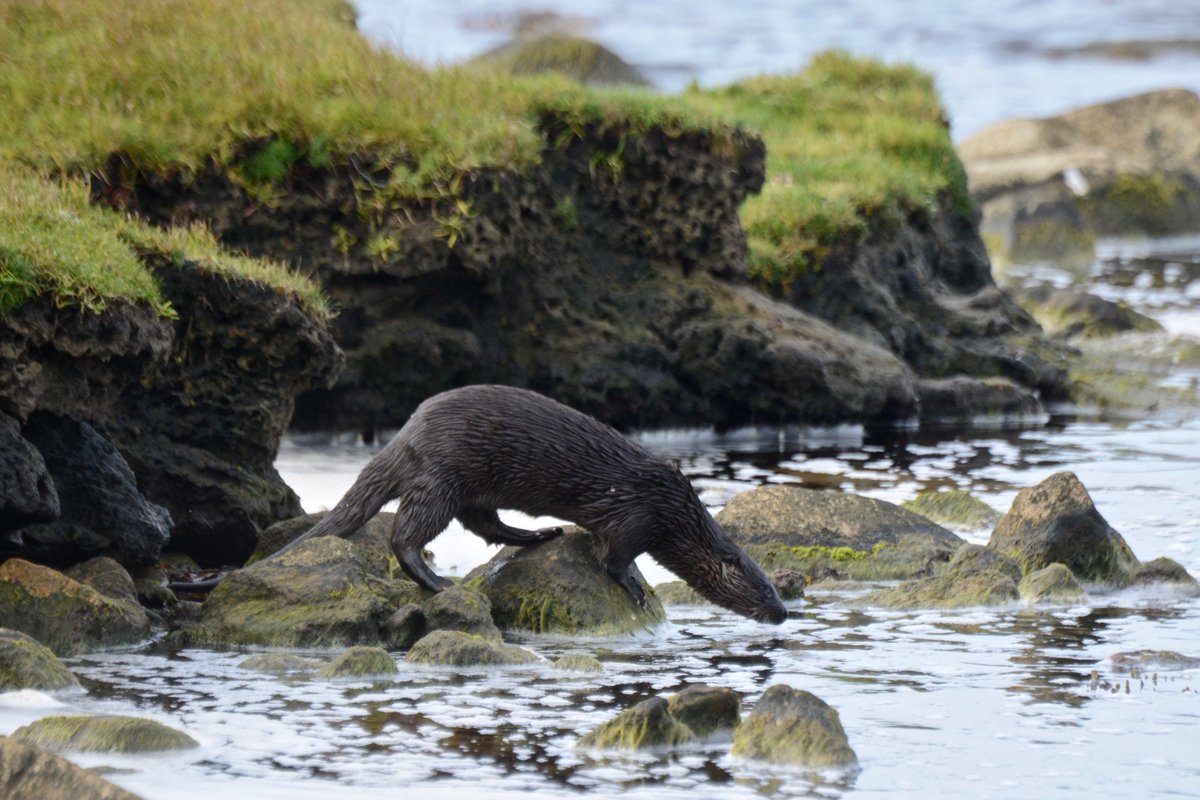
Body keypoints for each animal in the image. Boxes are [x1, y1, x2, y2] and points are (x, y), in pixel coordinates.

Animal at [279, 385, 788, 624]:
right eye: (766, 589)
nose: (784, 613)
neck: (674, 511)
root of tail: (406, 434)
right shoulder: (636, 517)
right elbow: (612, 558)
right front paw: (636, 588)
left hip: (468, 485)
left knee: (483, 524)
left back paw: (538, 534)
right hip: (442, 476)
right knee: (405, 536)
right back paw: (440, 583)